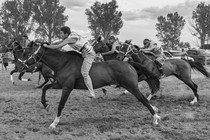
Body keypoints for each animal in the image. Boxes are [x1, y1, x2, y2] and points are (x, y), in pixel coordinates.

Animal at [21, 41, 161, 129]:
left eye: (26, 53)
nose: (22, 66)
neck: (63, 63)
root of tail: (129, 63)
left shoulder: (67, 88)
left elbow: (61, 105)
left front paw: (54, 123)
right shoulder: (59, 84)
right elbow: (45, 88)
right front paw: (46, 105)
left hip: (131, 86)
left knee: (143, 100)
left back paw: (155, 118)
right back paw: (155, 111)